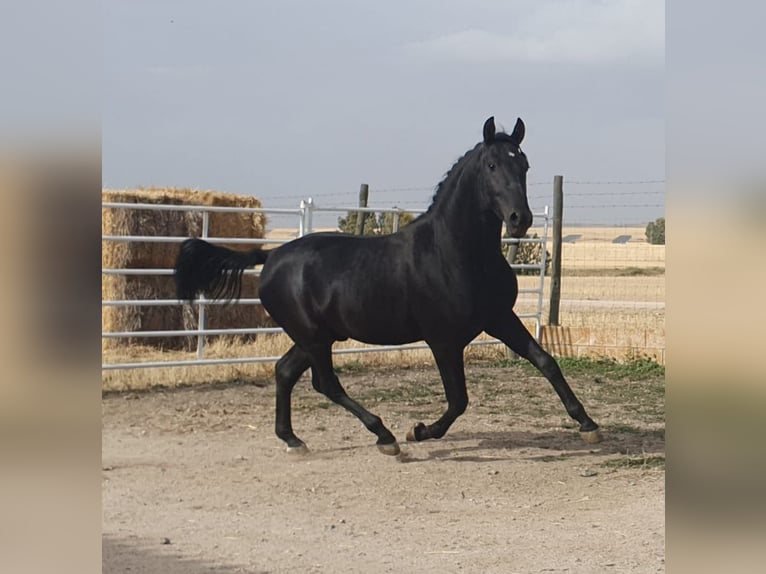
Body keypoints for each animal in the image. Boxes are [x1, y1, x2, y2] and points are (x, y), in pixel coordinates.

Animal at [177, 118, 604, 460]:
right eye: (492, 164)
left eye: (524, 164)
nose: (520, 219)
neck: (455, 253)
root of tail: (271, 256)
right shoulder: (443, 339)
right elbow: (459, 400)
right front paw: (419, 431)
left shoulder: (500, 318)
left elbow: (545, 361)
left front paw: (588, 425)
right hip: (314, 338)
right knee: (325, 383)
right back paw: (385, 437)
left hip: (317, 337)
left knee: (285, 372)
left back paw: (294, 441)